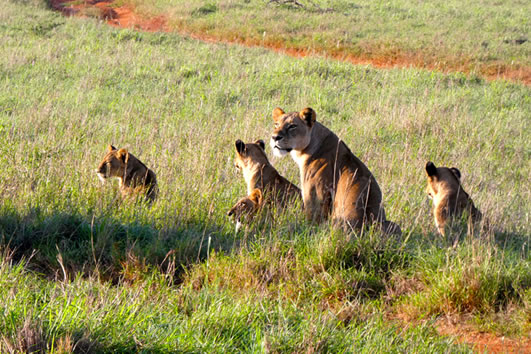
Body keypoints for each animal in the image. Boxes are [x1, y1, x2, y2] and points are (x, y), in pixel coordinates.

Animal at [272, 108, 402, 235]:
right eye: (276, 124)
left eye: (292, 126)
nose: (274, 137)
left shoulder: (315, 196)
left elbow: (312, 222)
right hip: (391, 225)